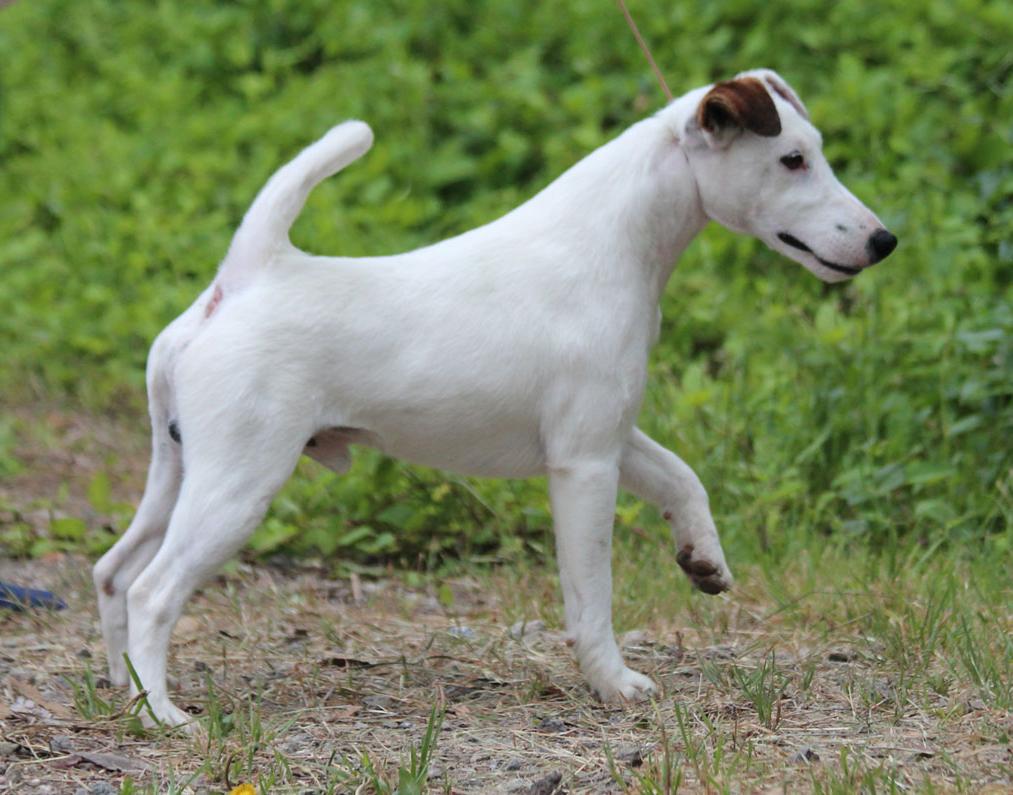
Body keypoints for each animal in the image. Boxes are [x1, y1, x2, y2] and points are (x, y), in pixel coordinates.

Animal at [93, 69, 895, 725]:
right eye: (791, 160)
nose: (883, 240)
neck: (613, 243)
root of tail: (245, 276)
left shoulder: (611, 436)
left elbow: (681, 478)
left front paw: (703, 559)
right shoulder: (584, 464)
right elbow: (591, 595)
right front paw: (615, 685)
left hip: (179, 471)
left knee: (113, 573)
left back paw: (125, 693)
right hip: (237, 485)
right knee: (151, 591)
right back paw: (164, 714)